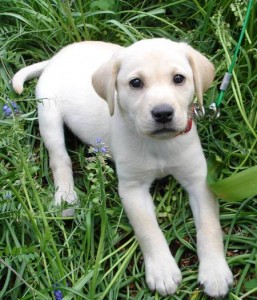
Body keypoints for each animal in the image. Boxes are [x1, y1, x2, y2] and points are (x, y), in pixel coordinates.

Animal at [12, 38, 232, 296]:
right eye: (136, 82)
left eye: (179, 78)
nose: (163, 113)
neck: (158, 145)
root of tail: (57, 57)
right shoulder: (132, 188)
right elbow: (147, 229)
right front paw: (163, 270)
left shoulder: (199, 179)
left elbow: (209, 225)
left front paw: (215, 272)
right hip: (48, 113)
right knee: (59, 157)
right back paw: (65, 197)